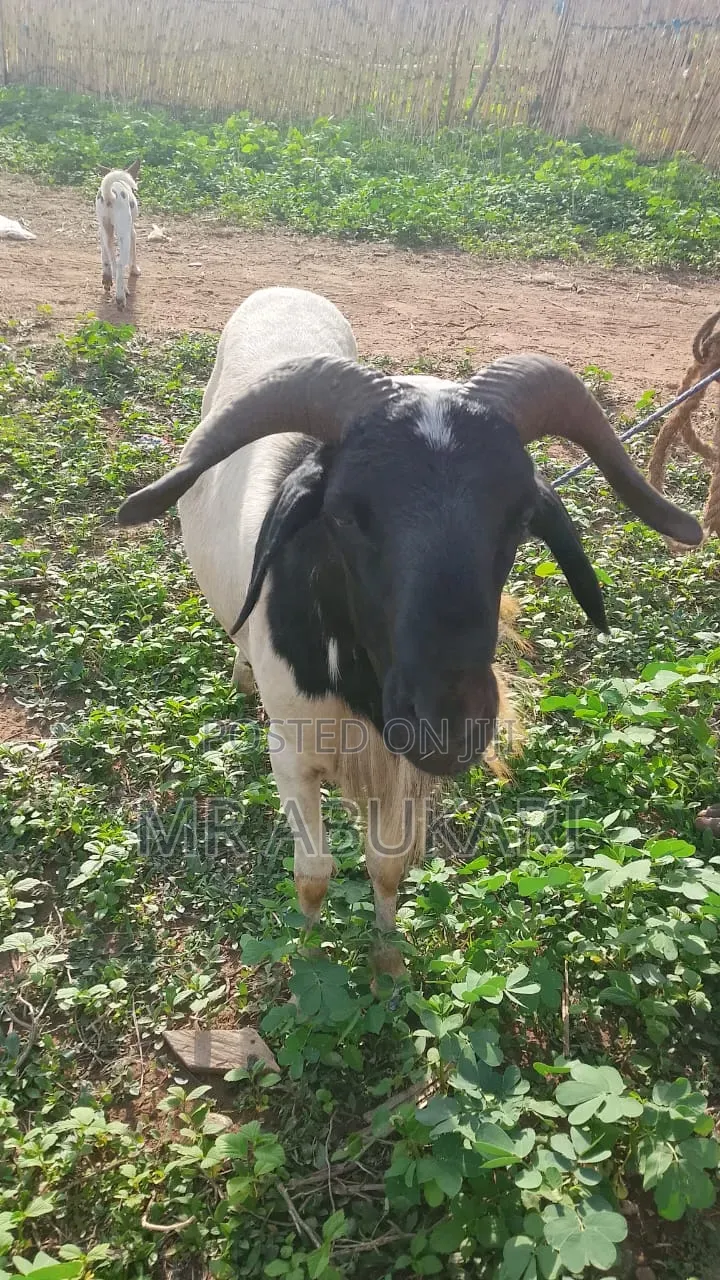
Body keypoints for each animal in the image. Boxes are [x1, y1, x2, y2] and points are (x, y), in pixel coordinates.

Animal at [117, 286, 702, 980]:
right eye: (345, 513)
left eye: (521, 515)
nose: (448, 724)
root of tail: (282, 290)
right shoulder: (291, 751)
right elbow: (313, 872)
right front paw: (307, 960)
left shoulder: (394, 760)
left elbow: (388, 864)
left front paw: (389, 961)